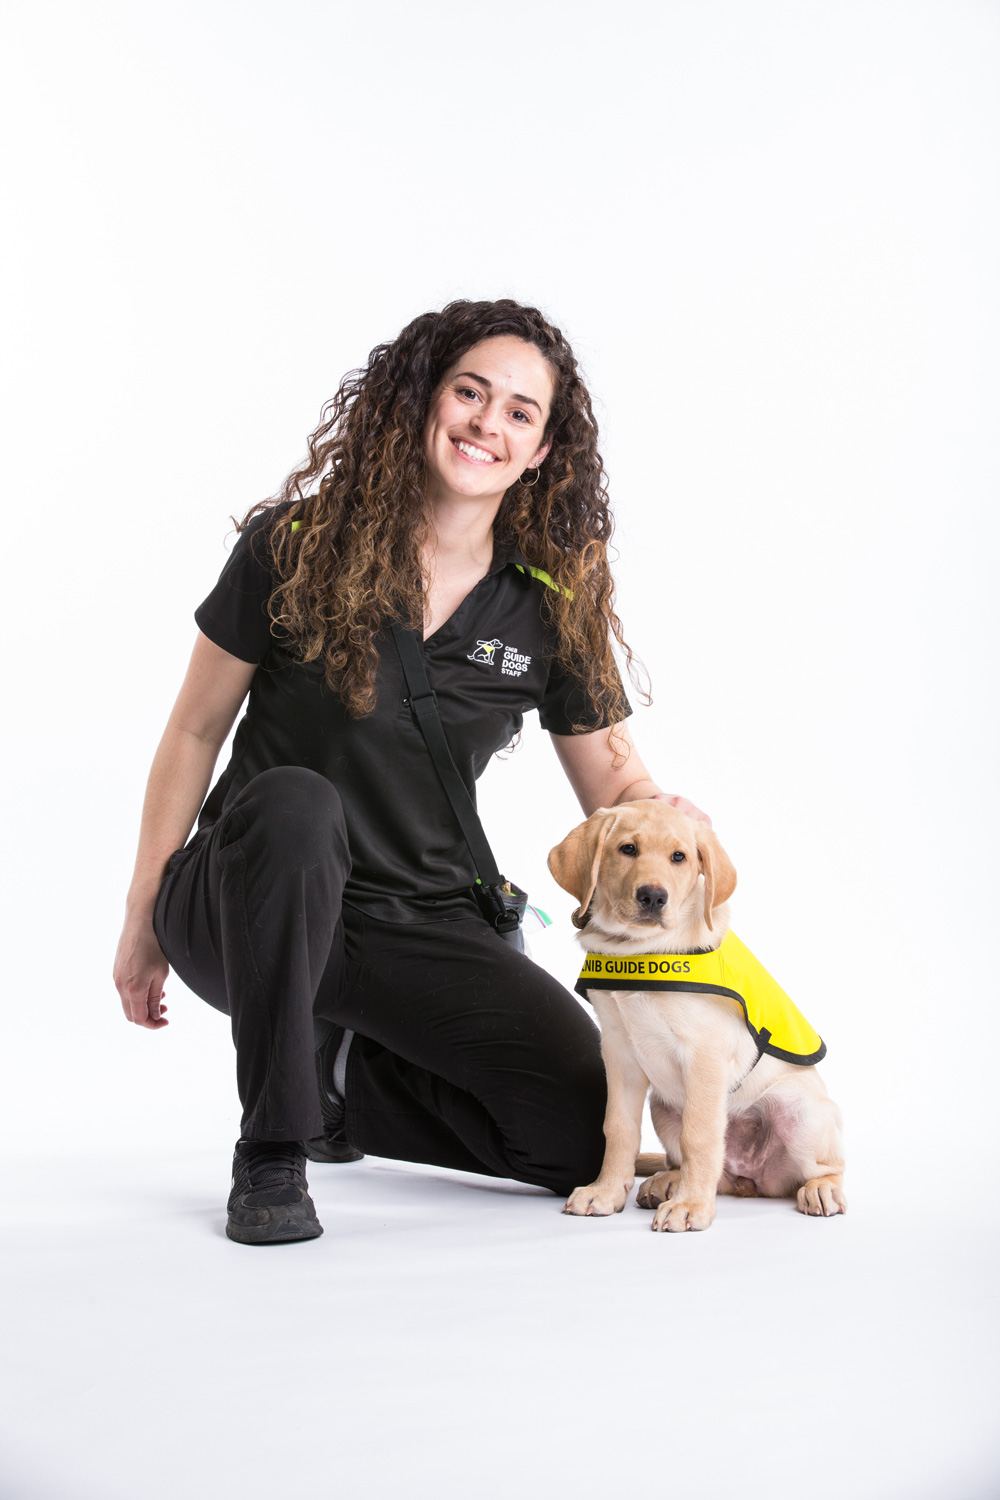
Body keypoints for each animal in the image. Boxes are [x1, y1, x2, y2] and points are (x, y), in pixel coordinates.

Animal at [551, 804, 851, 1224]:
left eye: (679, 857)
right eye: (628, 849)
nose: (653, 896)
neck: (638, 950)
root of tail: (751, 1179)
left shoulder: (705, 1053)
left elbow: (700, 1135)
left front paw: (691, 1206)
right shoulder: (619, 1052)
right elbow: (619, 1127)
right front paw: (605, 1192)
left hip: (801, 1110)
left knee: (826, 1167)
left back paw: (820, 1188)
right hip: (663, 1107)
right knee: (701, 1168)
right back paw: (667, 1182)